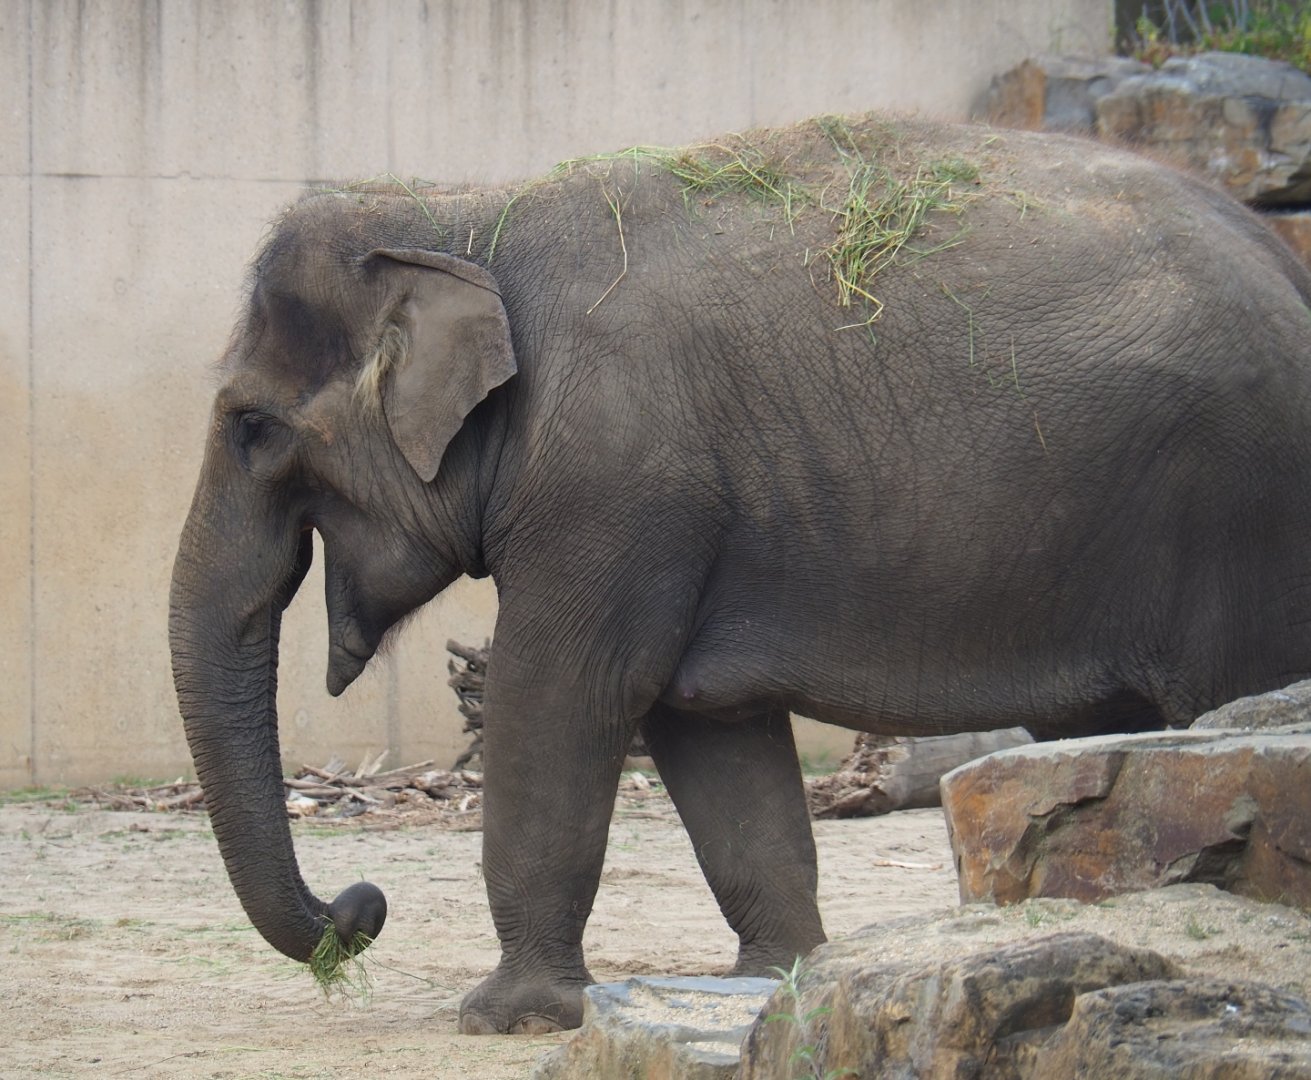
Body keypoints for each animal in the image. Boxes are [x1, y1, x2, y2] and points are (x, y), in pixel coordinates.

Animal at [169, 112, 1311, 1035]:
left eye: (253, 428)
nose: (360, 905)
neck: (462, 212)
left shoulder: (612, 482)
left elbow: (563, 696)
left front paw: (506, 1018)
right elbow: (705, 727)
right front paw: (779, 982)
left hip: (1244, 515)